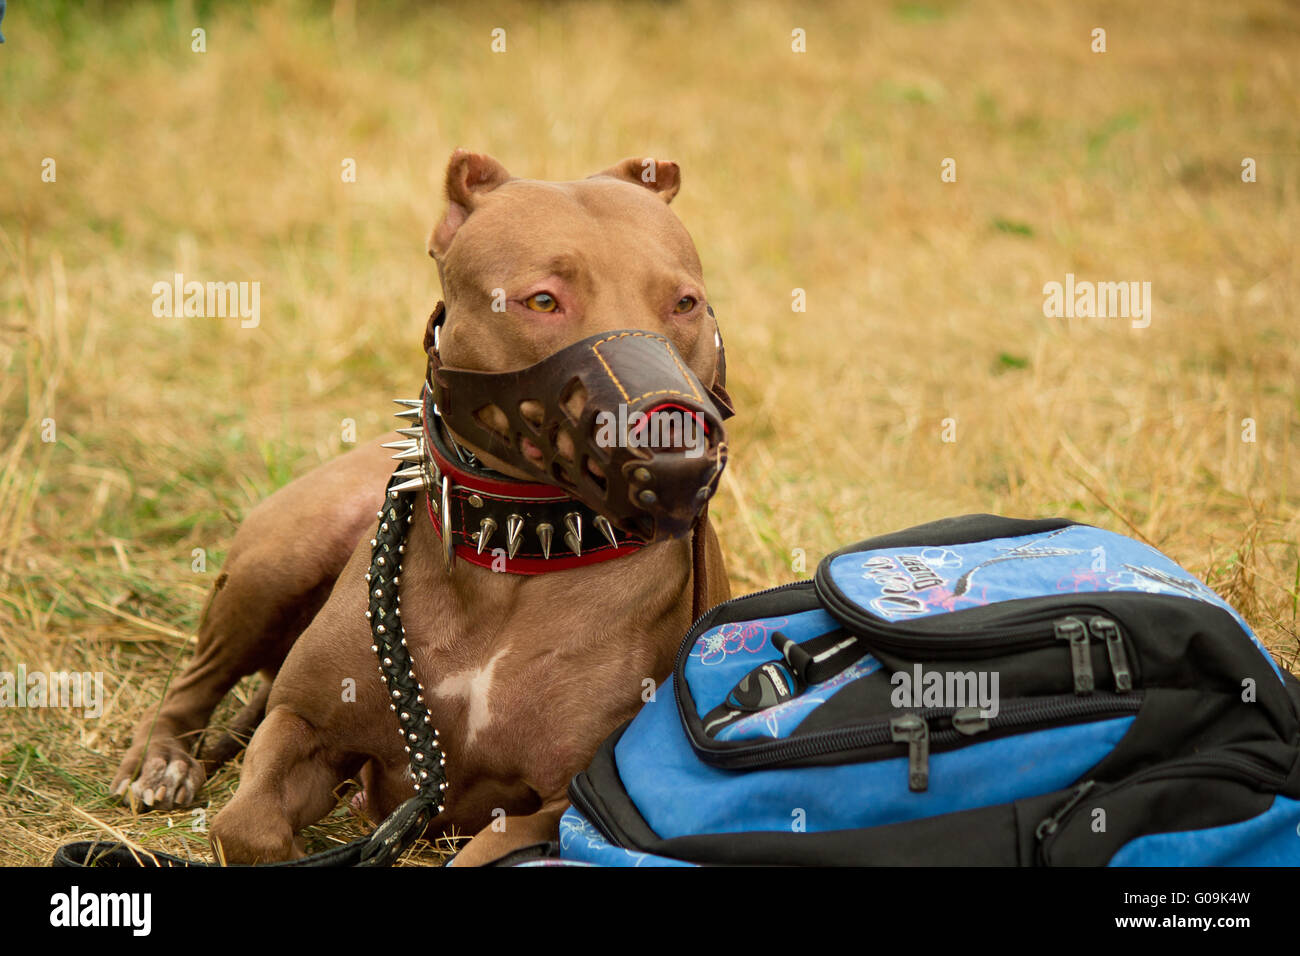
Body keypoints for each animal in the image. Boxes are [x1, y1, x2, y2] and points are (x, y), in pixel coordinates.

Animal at [111, 149, 738, 868]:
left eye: (685, 304)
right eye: (542, 301)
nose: (671, 439)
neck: (516, 549)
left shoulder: (558, 810)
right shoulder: (303, 728)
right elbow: (245, 826)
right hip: (276, 563)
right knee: (197, 678)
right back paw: (160, 760)